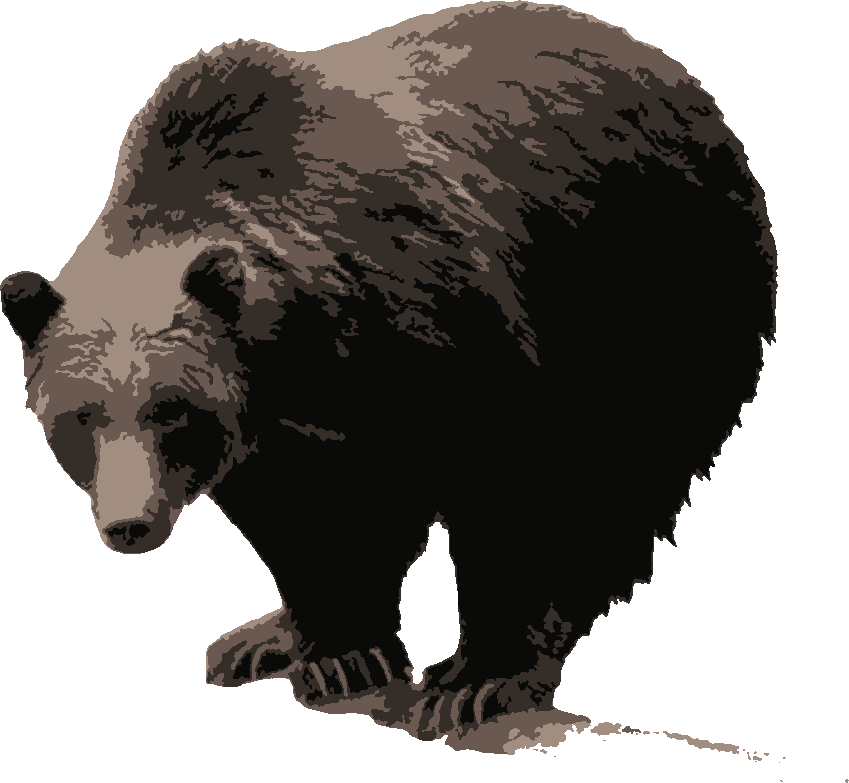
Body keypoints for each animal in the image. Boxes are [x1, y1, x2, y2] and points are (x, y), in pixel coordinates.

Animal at [1, 2, 776, 744]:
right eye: (80, 416)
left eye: (169, 408)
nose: (130, 524)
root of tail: (667, 68)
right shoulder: (277, 423)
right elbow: (301, 517)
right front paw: (338, 652)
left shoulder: (445, 325)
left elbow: (509, 481)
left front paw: (474, 681)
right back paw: (259, 638)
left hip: (656, 282)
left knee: (618, 472)